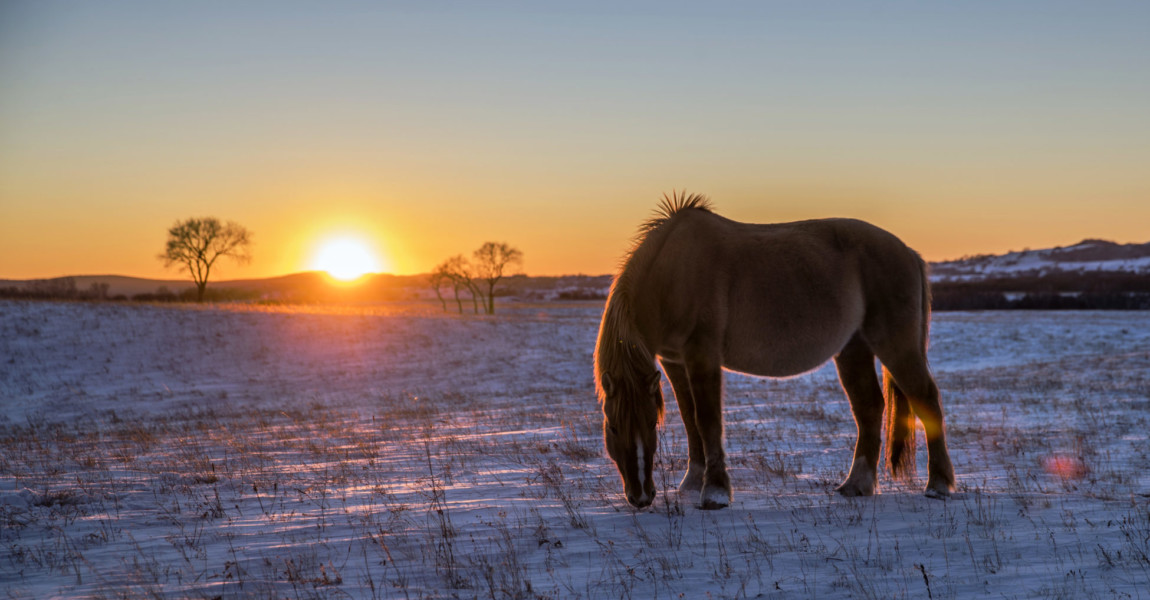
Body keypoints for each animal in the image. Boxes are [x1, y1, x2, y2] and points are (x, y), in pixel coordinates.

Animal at [593, 190, 952, 503]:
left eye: (651, 423)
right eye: (612, 426)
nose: (641, 497)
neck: (673, 273)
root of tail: (908, 253)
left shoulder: (702, 356)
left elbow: (708, 419)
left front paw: (715, 492)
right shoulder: (674, 361)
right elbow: (689, 418)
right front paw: (693, 482)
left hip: (895, 345)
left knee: (926, 400)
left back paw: (938, 485)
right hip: (854, 349)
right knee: (869, 408)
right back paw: (856, 485)